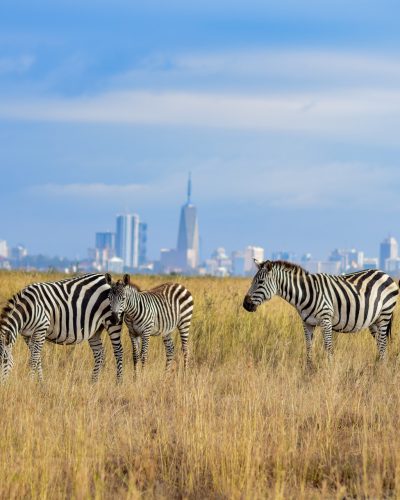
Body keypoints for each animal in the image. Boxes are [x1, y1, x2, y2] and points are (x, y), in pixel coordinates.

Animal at [242, 260, 398, 366]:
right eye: (252, 281)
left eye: (261, 282)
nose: (245, 304)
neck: (305, 293)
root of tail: (385, 274)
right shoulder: (307, 323)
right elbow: (309, 346)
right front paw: (309, 370)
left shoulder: (326, 320)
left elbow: (328, 347)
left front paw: (329, 370)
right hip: (374, 321)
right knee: (380, 345)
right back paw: (378, 367)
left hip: (385, 315)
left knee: (383, 343)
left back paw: (381, 370)